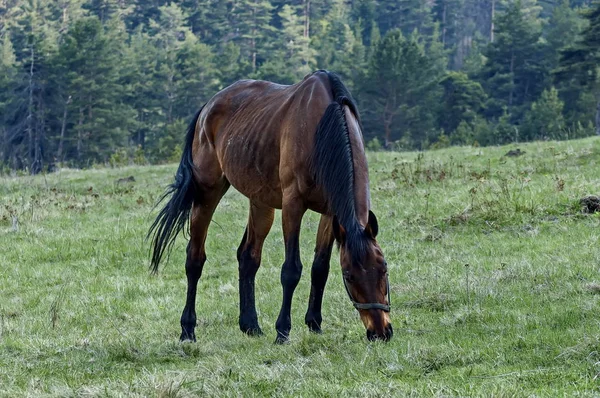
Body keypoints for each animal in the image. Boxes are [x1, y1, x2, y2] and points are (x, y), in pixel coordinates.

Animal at [149, 70, 392, 344]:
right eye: (349, 276)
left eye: (383, 268)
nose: (381, 332)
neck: (321, 128)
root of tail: (209, 106)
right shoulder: (293, 205)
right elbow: (291, 270)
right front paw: (283, 330)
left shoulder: (332, 214)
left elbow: (320, 268)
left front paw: (314, 324)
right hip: (208, 194)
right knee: (195, 259)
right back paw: (188, 329)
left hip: (260, 202)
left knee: (248, 256)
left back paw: (250, 325)